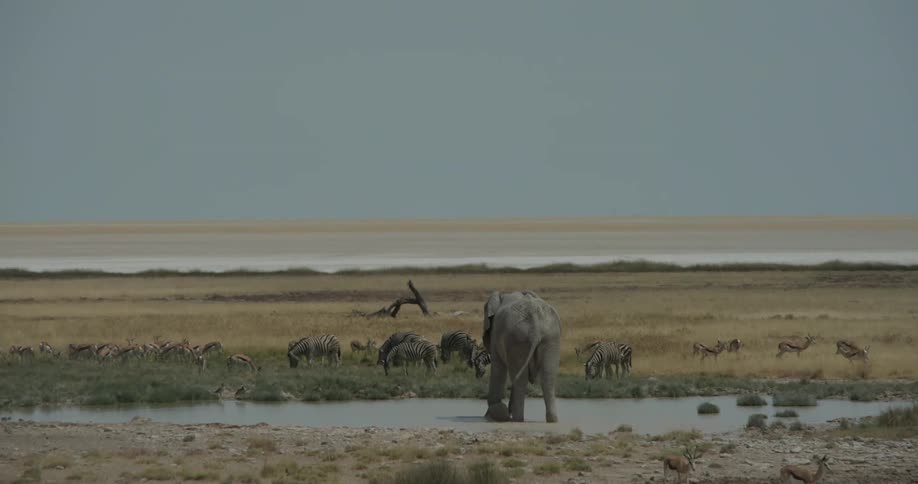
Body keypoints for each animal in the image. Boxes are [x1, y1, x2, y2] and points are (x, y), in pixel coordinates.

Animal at [482, 290, 562, 423]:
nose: (485, 416)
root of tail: (535, 324)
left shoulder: (496, 334)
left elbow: (498, 369)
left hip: (517, 338)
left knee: (520, 378)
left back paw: (517, 419)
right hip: (550, 337)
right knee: (548, 376)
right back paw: (552, 420)